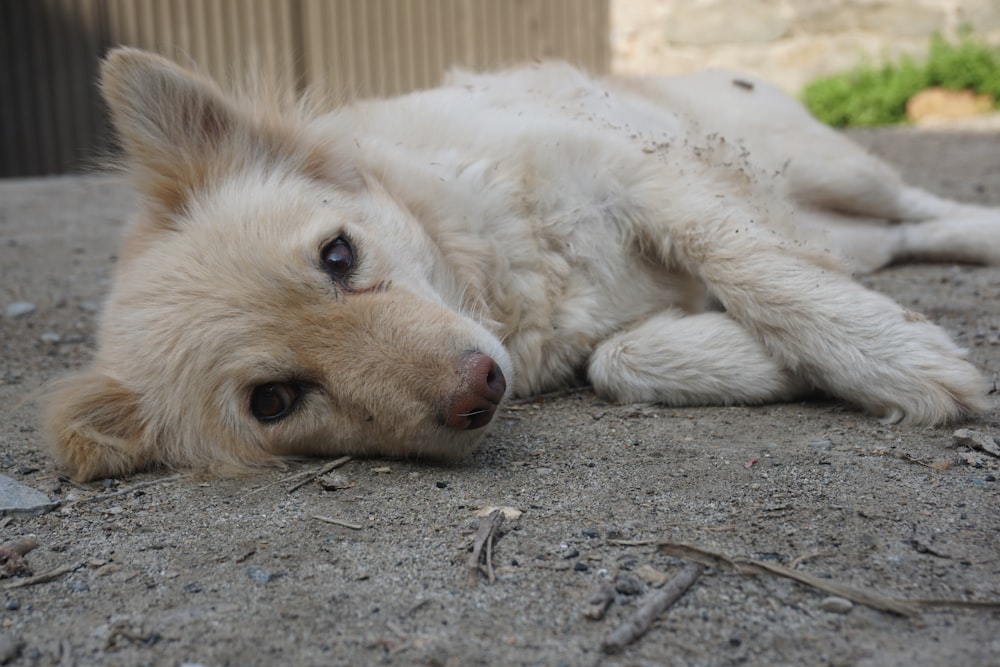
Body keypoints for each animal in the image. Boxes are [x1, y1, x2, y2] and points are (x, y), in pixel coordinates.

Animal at [47, 49, 1000, 482]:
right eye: (273, 401)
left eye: (338, 253)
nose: (479, 391)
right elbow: (624, 359)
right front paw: (772, 366)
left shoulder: (650, 180)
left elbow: (759, 272)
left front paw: (894, 363)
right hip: (845, 223)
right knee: (898, 237)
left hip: (830, 171)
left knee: (920, 207)